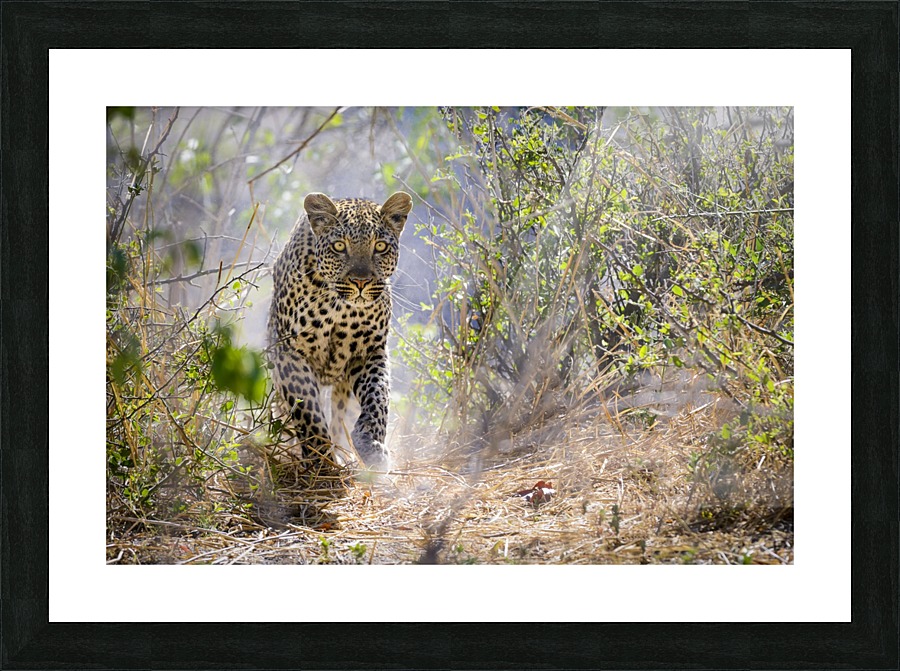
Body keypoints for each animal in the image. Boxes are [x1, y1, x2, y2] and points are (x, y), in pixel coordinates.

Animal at [267, 191, 412, 472]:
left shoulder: (370, 351)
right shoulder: (290, 352)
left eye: (380, 247)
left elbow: (378, 398)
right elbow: (307, 411)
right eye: (339, 246)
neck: (340, 308)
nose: (361, 282)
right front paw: (321, 462)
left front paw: (371, 447)